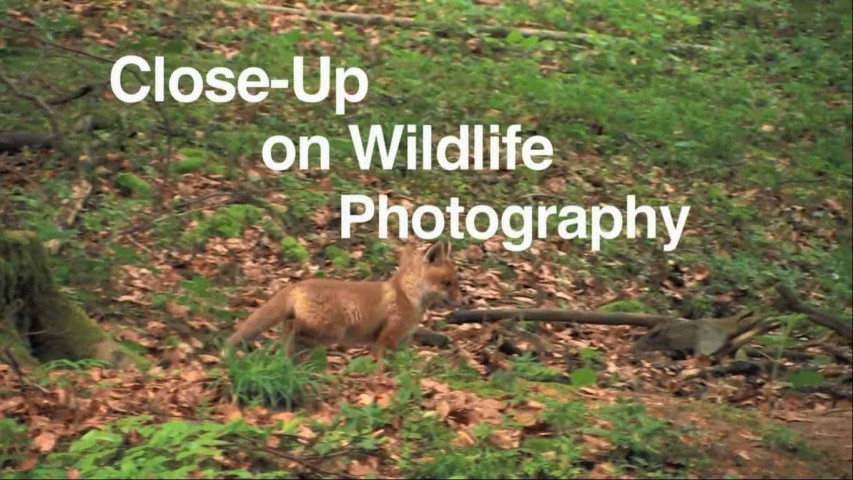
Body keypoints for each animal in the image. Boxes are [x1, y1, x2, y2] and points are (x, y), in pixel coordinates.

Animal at [225, 242, 460, 374]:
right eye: (447, 283)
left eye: (455, 282)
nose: (461, 300)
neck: (406, 296)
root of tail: (296, 284)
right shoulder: (387, 338)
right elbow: (384, 366)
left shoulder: (402, 342)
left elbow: (403, 366)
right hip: (330, 332)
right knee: (292, 330)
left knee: (288, 335)